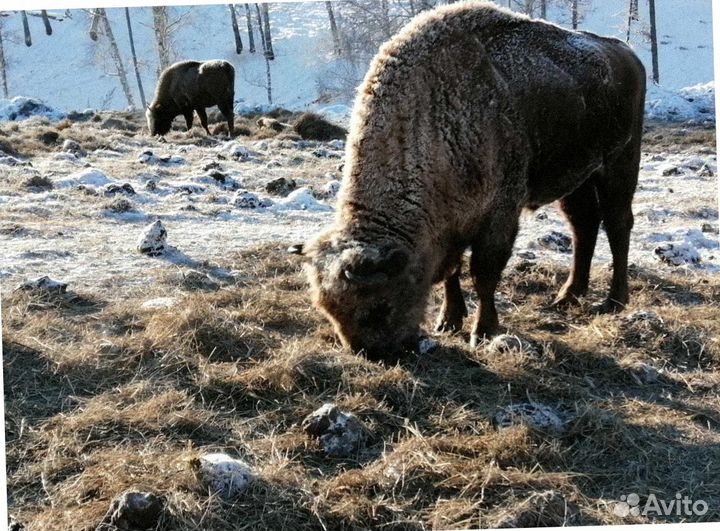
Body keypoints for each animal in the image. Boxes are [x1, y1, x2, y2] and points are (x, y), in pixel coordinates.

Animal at [292, 2, 648, 360]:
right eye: (329, 310)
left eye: (378, 307)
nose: (376, 353)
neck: (432, 122)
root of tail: (627, 54)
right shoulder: (452, 225)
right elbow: (453, 272)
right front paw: (448, 321)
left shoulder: (499, 215)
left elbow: (483, 274)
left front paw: (483, 331)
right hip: (577, 179)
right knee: (583, 225)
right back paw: (567, 296)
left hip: (619, 163)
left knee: (617, 223)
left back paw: (613, 301)